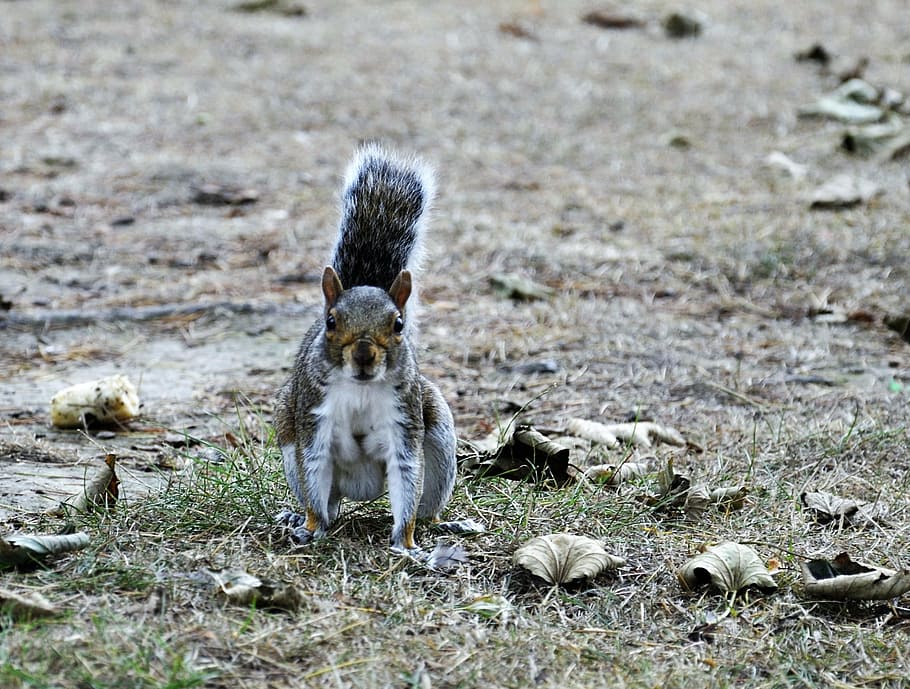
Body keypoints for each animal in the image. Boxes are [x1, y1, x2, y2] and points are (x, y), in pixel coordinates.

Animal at [274, 144, 458, 556]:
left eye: (399, 324)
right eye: (330, 322)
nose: (362, 356)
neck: (359, 389)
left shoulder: (404, 418)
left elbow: (406, 471)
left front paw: (405, 542)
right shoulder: (314, 417)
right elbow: (314, 465)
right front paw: (312, 529)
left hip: (439, 431)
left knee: (427, 501)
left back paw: (441, 523)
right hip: (288, 430)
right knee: (327, 500)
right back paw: (303, 517)